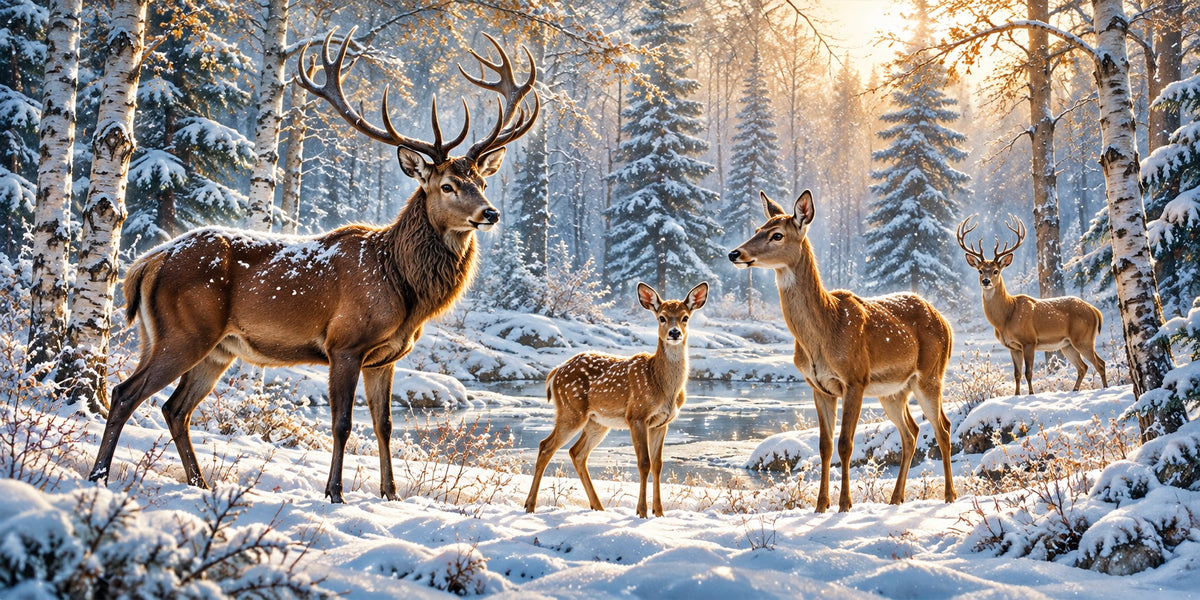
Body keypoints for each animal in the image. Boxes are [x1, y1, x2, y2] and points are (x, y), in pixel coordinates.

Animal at [86, 29, 539, 504]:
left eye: (482, 181)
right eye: (448, 185)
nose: (490, 213)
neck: (402, 286)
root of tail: (147, 263)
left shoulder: (385, 357)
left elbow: (385, 425)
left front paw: (391, 495)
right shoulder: (345, 344)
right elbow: (342, 424)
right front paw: (335, 493)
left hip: (213, 347)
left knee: (175, 408)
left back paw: (200, 482)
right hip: (183, 332)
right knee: (125, 392)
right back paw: (100, 475)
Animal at [524, 282, 709, 519]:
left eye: (685, 317)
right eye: (662, 317)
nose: (674, 333)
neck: (660, 383)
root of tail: (555, 372)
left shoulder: (661, 423)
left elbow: (658, 464)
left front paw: (659, 513)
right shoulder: (636, 415)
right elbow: (644, 463)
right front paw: (642, 512)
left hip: (597, 422)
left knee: (577, 453)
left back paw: (598, 507)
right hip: (571, 410)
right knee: (545, 446)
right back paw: (530, 506)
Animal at [728, 190, 956, 513]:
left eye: (777, 235)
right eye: (758, 228)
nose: (735, 254)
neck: (825, 330)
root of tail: (946, 322)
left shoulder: (855, 378)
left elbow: (845, 444)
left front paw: (845, 504)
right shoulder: (819, 386)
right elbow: (824, 446)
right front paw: (821, 505)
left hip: (930, 375)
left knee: (943, 428)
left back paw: (949, 496)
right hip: (894, 390)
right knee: (911, 432)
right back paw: (895, 499)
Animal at [956, 215, 1107, 396]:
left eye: (995, 271)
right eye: (979, 270)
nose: (986, 281)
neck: (1006, 317)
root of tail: (1095, 311)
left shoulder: (1029, 341)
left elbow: (1028, 372)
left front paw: (1031, 394)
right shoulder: (1013, 346)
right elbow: (1017, 374)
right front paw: (1016, 395)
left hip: (1083, 338)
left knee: (1100, 364)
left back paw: (1105, 388)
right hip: (1067, 344)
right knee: (1083, 367)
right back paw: (1075, 390)